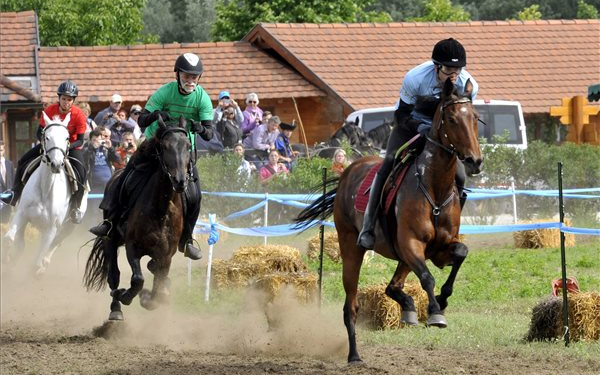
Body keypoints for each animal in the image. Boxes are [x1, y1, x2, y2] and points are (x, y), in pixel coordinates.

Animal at [1, 113, 88, 274]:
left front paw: (36, 269)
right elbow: (10, 239)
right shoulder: (22, 214)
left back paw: (43, 266)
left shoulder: (51, 229)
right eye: (46, 137)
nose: (56, 164)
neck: (45, 189)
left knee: (55, 244)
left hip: (68, 226)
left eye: (67, 137)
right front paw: (7, 262)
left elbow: (37, 260)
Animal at [83, 116, 191, 322]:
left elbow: (157, 286)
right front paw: (125, 295)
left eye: (188, 146)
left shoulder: (166, 255)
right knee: (114, 275)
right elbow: (137, 280)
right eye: (165, 146)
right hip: (111, 240)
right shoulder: (132, 246)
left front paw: (148, 297)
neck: (160, 210)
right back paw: (116, 308)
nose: (180, 181)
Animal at [296, 78, 482, 362]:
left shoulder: (439, 250)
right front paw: (435, 312)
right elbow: (427, 278)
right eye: (451, 119)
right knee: (351, 305)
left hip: (402, 256)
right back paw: (354, 355)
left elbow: (460, 253)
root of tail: (349, 170)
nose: (475, 160)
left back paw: (408, 307)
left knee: (391, 288)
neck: (434, 188)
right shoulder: (411, 244)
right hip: (351, 248)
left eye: (475, 117)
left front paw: (442, 300)